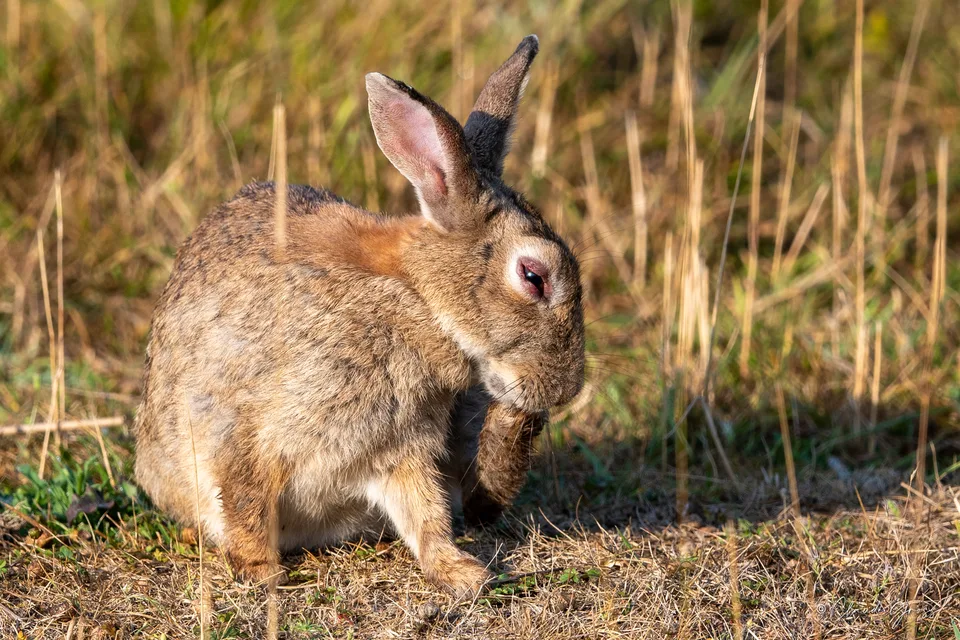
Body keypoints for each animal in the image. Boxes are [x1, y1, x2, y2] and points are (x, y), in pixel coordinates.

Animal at [133, 34, 585, 597]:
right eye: (533, 276)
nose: (566, 389)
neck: (418, 299)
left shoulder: (401, 446)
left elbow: (425, 513)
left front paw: (461, 573)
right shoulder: (249, 429)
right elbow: (246, 496)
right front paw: (262, 574)